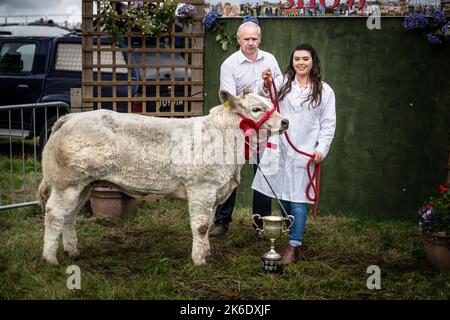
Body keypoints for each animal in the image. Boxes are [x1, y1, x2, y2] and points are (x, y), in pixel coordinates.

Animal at [41, 90, 288, 264]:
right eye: (257, 108)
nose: (285, 122)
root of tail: (71, 117)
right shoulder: (201, 188)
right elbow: (201, 226)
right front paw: (199, 260)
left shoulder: (214, 191)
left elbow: (207, 224)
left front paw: (206, 251)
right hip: (67, 183)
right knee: (55, 214)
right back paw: (50, 258)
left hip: (84, 184)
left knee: (70, 215)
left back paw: (73, 251)